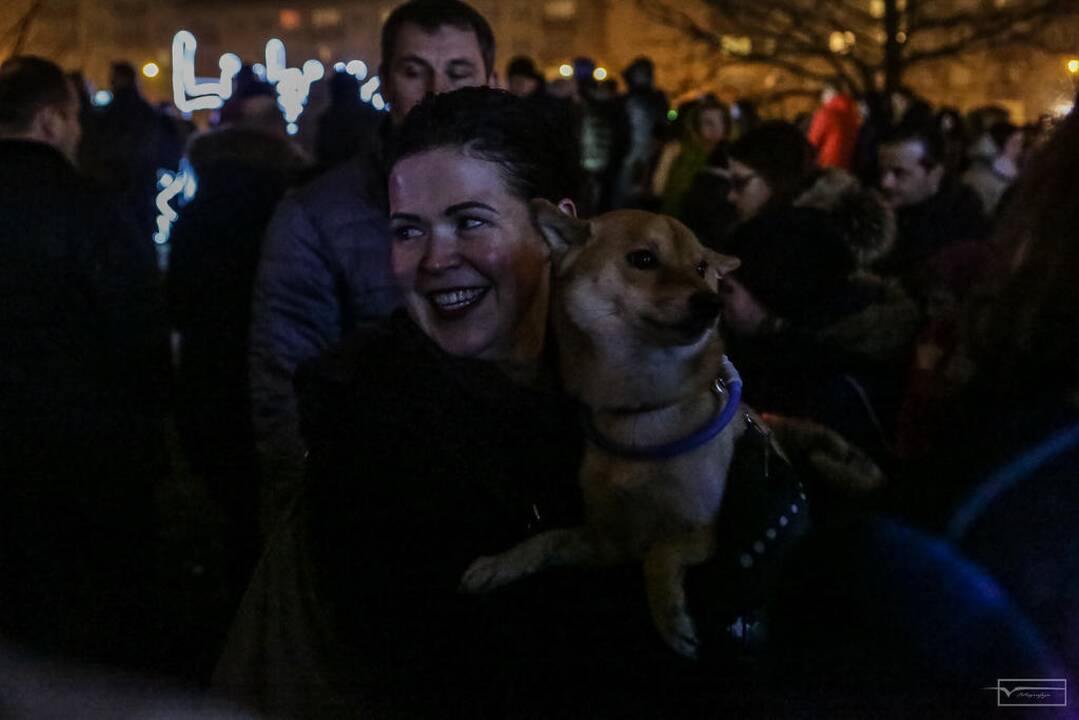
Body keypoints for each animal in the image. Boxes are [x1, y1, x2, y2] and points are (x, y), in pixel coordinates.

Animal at [459, 198, 755, 660]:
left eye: (702, 267)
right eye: (644, 259)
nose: (713, 304)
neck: (640, 410)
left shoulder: (706, 532)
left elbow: (660, 551)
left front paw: (671, 619)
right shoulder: (608, 542)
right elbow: (546, 539)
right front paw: (498, 564)